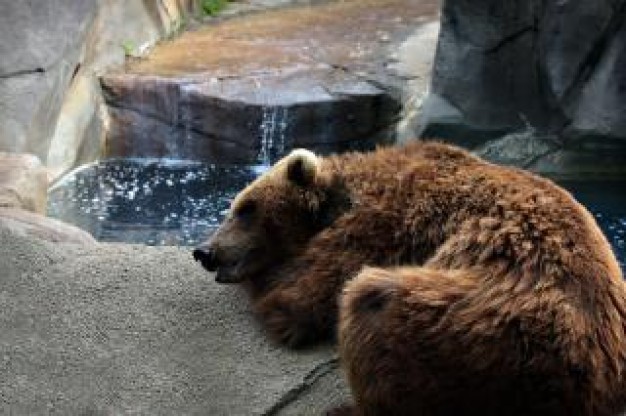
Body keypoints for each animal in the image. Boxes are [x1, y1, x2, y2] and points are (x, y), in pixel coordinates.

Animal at [193, 141, 620, 414]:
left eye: (246, 208)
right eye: (235, 207)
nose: (205, 252)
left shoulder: (380, 226)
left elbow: (296, 294)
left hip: (480, 325)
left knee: (373, 303)